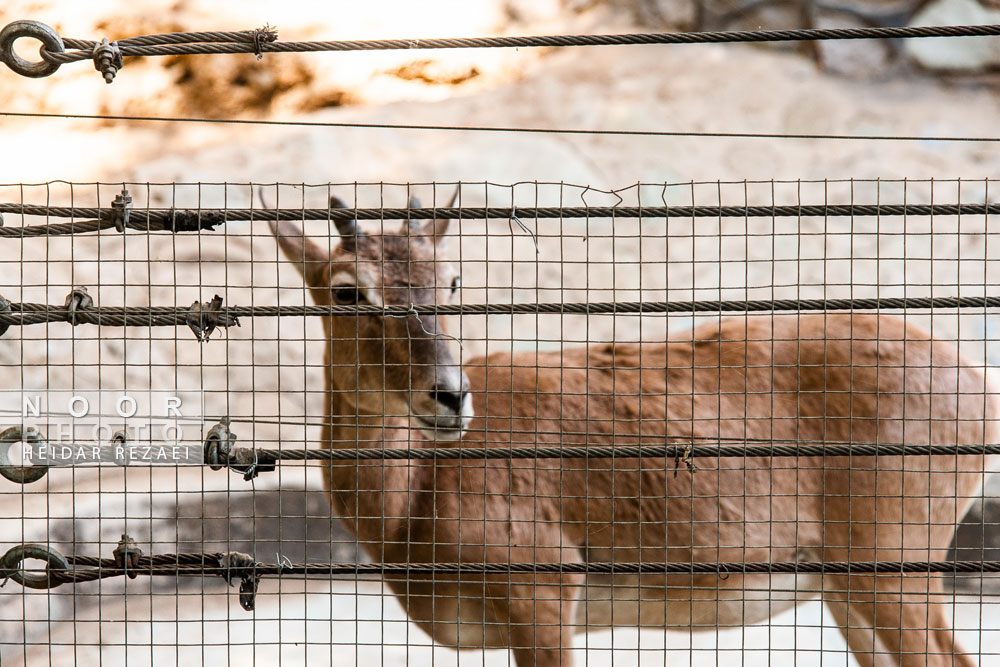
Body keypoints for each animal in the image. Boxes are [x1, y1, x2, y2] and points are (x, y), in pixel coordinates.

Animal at [270, 198, 996, 667]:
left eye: (449, 280)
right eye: (346, 290)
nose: (449, 395)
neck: (416, 498)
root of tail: (980, 389)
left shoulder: (543, 585)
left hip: (893, 556)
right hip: (848, 580)